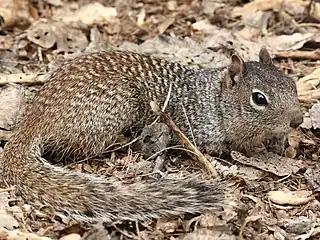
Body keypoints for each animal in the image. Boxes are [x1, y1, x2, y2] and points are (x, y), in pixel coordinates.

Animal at [0, 47, 304, 223]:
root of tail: (34, 120)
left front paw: (277, 143)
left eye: (292, 83)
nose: (298, 120)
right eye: (259, 98)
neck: (214, 99)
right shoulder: (202, 132)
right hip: (114, 109)